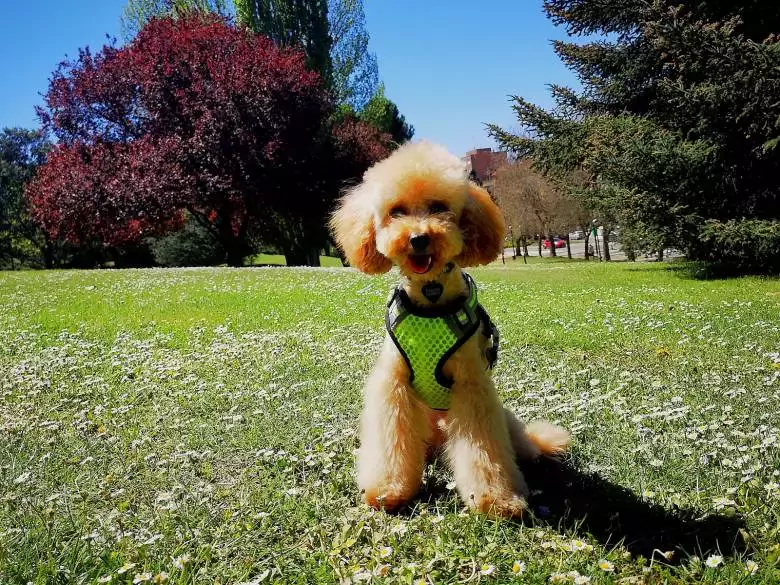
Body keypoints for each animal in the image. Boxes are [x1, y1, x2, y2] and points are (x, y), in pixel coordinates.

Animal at [326, 141, 568, 516]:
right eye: (396, 211)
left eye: (439, 207)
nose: (418, 239)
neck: (431, 298)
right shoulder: (395, 384)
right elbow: (390, 437)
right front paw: (388, 488)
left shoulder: (472, 388)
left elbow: (483, 447)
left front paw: (496, 499)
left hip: (502, 419)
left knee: (521, 443)